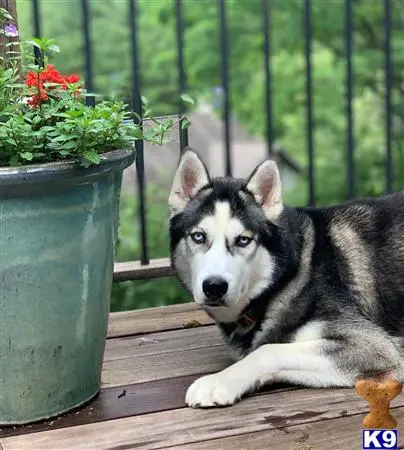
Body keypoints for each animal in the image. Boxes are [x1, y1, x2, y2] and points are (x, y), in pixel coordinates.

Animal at [167, 149, 404, 410]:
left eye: (243, 240)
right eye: (198, 237)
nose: (214, 287)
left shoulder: (375, 347)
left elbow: (268, 350)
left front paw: (219, 381)